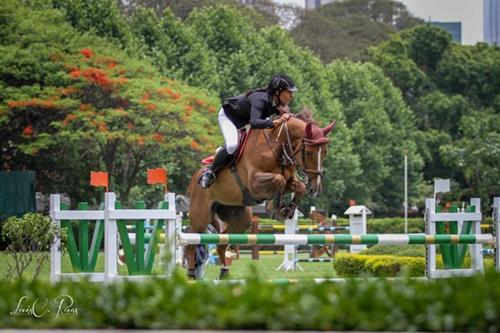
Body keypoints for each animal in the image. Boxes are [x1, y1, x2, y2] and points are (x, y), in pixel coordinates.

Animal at [186, 109, 334, 278]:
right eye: (309, 152)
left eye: (325, 152)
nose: (315, 189)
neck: (277, 147)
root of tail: (196, 176)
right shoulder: (254, 183)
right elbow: (279, 180)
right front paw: (276, 207)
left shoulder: (290, 181)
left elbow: (298, 186)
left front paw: (287, 210)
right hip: (201, 216)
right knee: (193, 241)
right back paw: (191, 273)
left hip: (240, 219)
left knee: (222, 242)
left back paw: (224, 271)